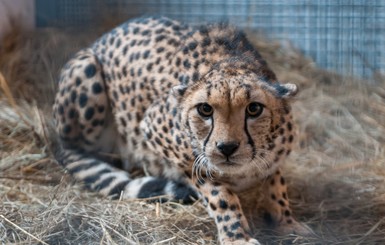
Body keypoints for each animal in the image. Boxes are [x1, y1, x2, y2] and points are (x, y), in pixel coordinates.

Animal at [52, 16, 308, 244]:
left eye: (254, 109)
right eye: (205, 109)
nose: (226, 148)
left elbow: (276, 185)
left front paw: (287, 223)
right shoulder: (155, 131)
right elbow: (220, 195)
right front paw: (237, 236)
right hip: (85, 67)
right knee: (71, 150)